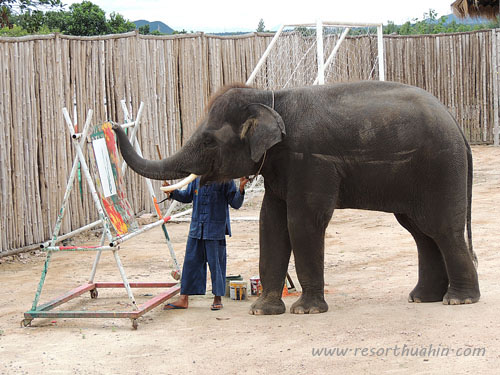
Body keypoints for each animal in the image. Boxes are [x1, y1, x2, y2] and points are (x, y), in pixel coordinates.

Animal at [113, 81, 480, 316]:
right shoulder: (282, 167)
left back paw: (459, 301)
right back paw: (424, 298)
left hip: (441, 168)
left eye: (207, 141)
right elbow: (270, 223)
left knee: (442, 229)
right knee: (421, 231)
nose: (113, 123)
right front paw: (263, 311)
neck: (270, 97)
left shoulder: (309, 159)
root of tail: (458, 128)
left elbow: (303, 221)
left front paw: (306, 311)